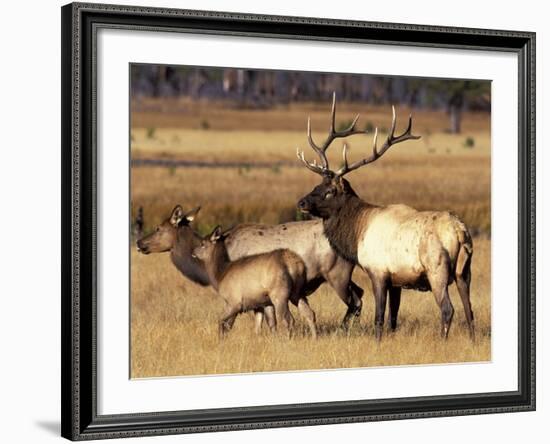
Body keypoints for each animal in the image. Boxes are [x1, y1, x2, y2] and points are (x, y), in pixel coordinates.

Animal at [298, 93, 474, 342]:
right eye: (317, 184)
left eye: (329, 190)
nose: (301, 203)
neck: (357, 233)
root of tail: (460, 232)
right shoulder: (396, 281)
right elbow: (393, 317)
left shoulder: (378, 272)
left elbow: (379, 317)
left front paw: (378, 342)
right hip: (464, 271)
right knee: (469, 310)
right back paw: (473, 341)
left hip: (437, 269)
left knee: (448, 309)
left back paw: (443, 341)